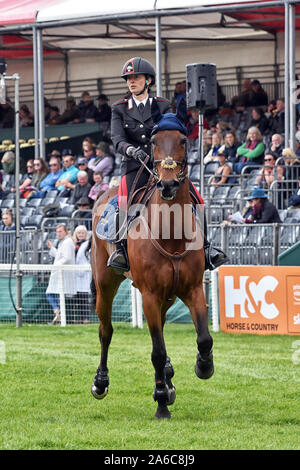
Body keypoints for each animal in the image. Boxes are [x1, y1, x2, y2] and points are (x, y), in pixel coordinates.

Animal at [90, 113, 214, 418]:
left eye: (183, 141)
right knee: (106, 331)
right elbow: (156, 351)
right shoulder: (149, 294)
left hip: (168, 296)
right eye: (154, 142)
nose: (167, 185)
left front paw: (203, 366)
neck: (171, 235)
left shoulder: (193, 289)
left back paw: (169, 377)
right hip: (106, 284)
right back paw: (101, 381)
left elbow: (204, 339)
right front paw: (161, 402)